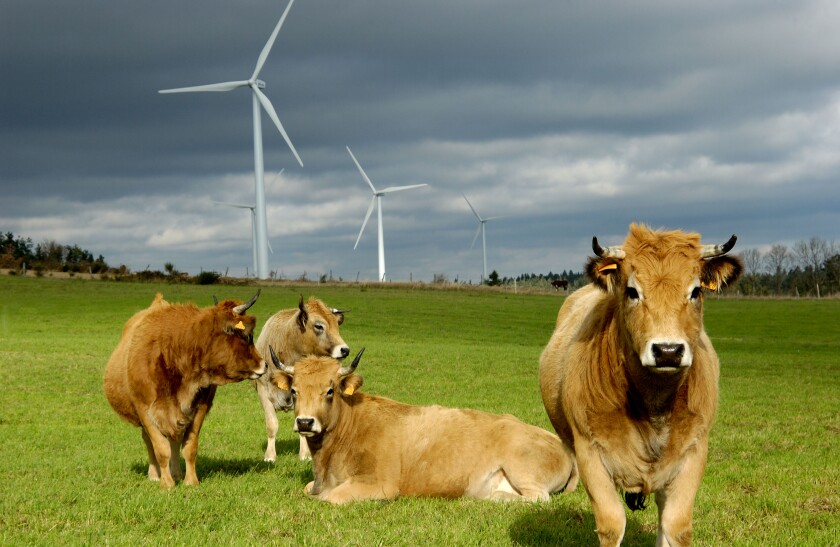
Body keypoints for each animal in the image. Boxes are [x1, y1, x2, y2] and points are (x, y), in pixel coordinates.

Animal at [103, 290, 267, 489]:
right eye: (247, 336)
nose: (264, 364)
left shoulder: (199, 408)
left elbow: (189, 447)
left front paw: (190, 481)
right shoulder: (145, 410)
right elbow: (160, 448)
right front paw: (166, 484)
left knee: (174, 440)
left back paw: (176, 473)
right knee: (150, 441)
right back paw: (155, 474)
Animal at [254, 296, 350, 462]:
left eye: (337, 325)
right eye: (319, 326)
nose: (345, 350)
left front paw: (305, 454)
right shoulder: (263, 390)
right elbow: (272, 425)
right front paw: (270, 456)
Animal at [270, 348, 578, 504]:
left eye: (330, 390)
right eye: (295, 390)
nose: (305, 421)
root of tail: (560, 443)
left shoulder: (380, 484)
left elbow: (330, 498)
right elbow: (308, 489)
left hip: (523, 467)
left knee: (538, 499)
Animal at [539, 224, 742, 546]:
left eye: (696, 291)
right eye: (632, 291)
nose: (668, 350)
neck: (654, 404)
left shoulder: (694, 451)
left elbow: (676, 525)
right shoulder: (589, 453)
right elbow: (611, 524)